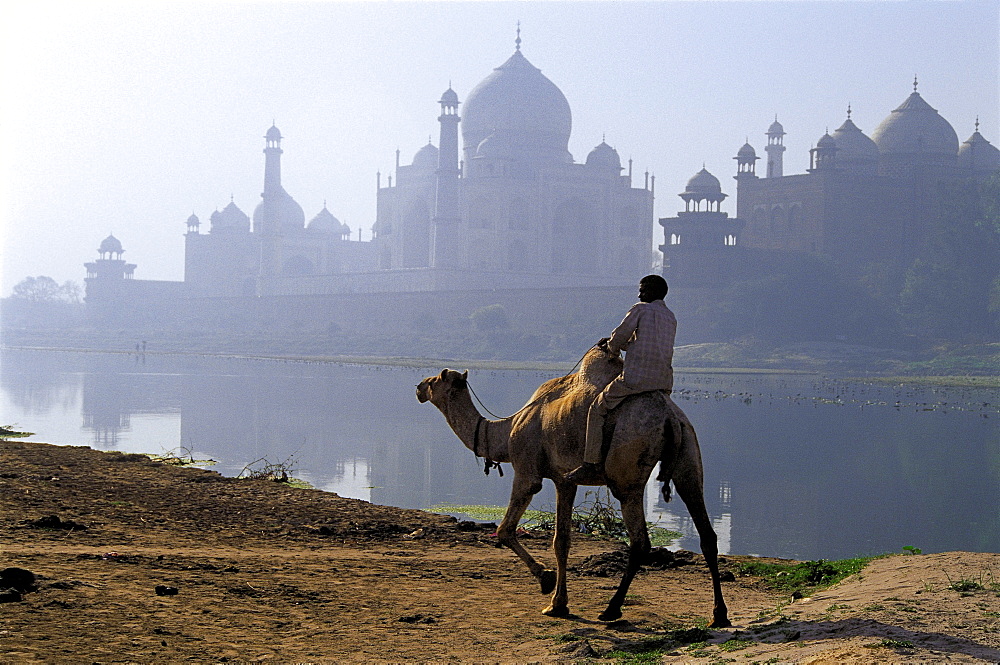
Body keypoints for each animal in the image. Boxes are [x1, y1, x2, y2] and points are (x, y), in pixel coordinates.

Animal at [418, 344, 732, 624]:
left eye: (435, 379)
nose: (419, 387)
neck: (506, 432)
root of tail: (670, 417)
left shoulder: (527, 470)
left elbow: (505, 529)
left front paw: (546, 581)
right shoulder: (564, 480)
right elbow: (562, 540)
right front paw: (558, 603)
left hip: (628, 468)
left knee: (640, 541)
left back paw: (611, 609)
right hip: (689, 453)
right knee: (706, 531)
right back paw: (719, 615)